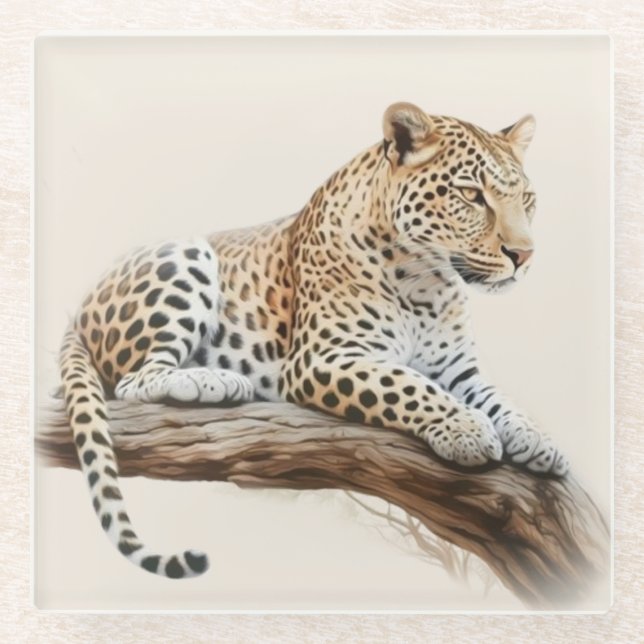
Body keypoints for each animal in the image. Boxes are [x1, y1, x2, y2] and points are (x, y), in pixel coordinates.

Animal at [58, 102, 569, 580]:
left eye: (527, 199)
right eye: (471, 195)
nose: (524, 255)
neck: (428, 282)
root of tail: (79, 306)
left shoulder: (459, 370)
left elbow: (499, 400)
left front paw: (538, 440)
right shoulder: (322, 358)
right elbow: (408, 386)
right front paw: (465, 430)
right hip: (186, 253)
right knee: (133, 379)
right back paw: (211, 381)